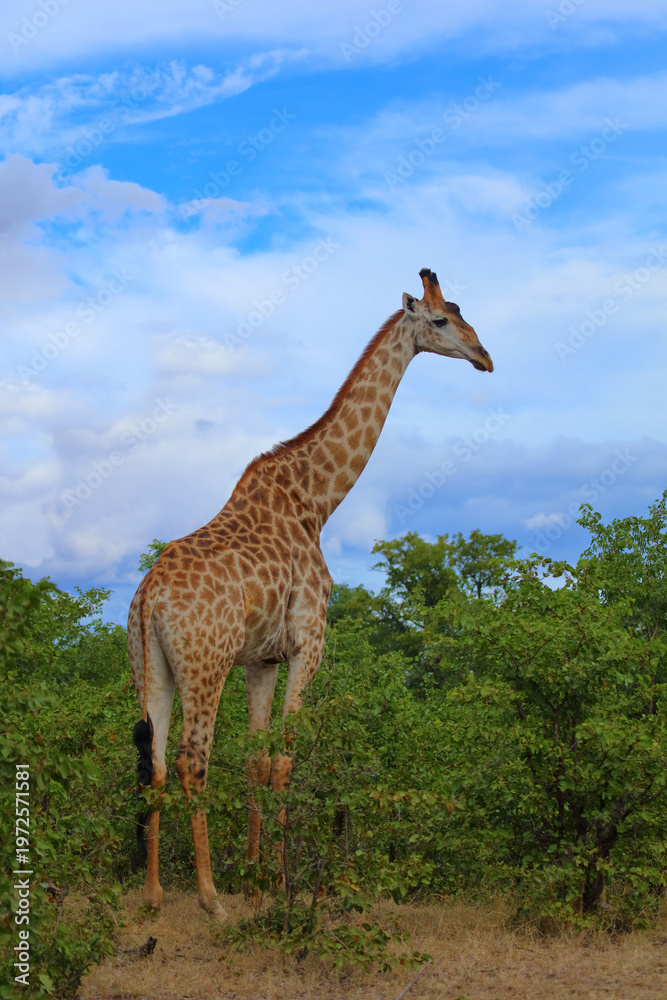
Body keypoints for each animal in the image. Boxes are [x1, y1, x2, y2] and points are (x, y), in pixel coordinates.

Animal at [127, 267, 493, 920]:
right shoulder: (307, 644)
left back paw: (153, 894)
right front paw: (275, 883)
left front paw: (254, 878)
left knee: (159, 766)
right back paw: (208, 897)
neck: (317, 501)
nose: (485, 357)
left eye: (460, 311)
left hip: (152, 668)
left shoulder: (262, 659)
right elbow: (286, 759)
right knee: (194, 762)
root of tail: (147, 598)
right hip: (204, 664)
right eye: (441, 320)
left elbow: (256, 760)